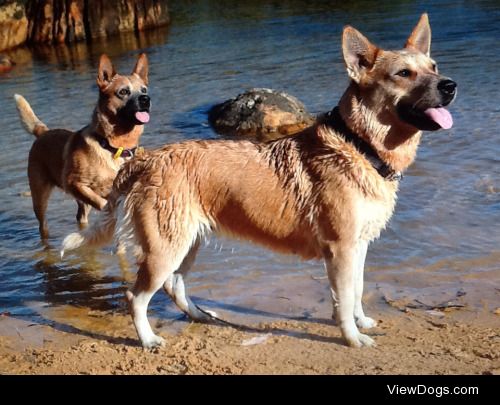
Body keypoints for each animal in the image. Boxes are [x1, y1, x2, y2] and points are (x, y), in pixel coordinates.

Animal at [16, 52, 151, 238]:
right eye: (123, 91)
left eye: (144, 90)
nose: (146, 99)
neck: (113, 147)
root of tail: (43, 132)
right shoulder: (74, 183)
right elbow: (101, 203)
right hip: (40, 197)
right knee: (43, 225)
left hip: (79, 203)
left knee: (80, 217)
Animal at [60, 14, 456, 346]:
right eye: (403, 73)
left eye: (433, 67)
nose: (450, 85)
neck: (359, 146)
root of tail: (146, 161)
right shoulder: (341, 248)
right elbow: (344, 301)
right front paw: (353, 339)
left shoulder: (358, 246)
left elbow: (356, 292)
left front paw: (362, 322)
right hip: (165, 248)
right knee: (136, 296)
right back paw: (148, 340)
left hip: (186, 244)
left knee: (174, 285)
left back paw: (201, 315)